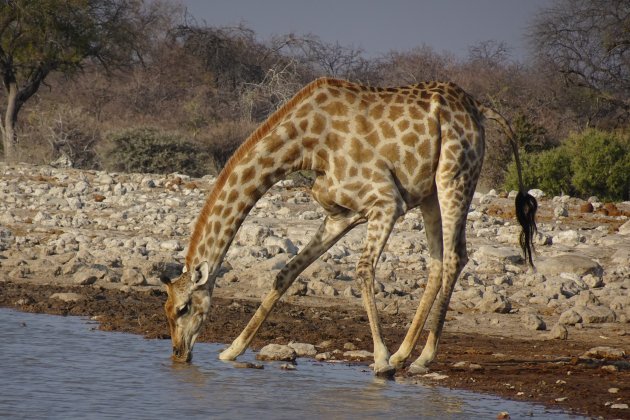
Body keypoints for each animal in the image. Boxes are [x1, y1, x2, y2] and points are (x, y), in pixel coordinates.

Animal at [162, 77, 540, 376]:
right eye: (166, 309)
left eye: (183, 308)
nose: (178, 354)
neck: (305, 144)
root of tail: (478, 107)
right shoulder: (341, 215)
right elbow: (286, 273)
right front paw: (232, 350)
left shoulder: (386, 202)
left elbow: (362, 270)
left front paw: (381, 360)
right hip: (430, 192)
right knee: (437, 261)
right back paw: (405, 354)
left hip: (456, 175)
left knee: (455, 257)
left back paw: (421, 358)